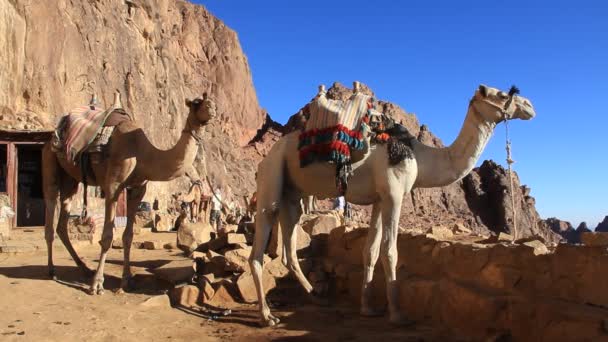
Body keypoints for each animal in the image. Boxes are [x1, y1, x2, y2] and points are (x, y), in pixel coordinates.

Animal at [42, 93, 216, 294]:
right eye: (196, 103)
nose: (212, 108)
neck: (143, 153)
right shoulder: (113, 186)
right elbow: (107, 236)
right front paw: (97, 284)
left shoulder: (137, 189)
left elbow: (128, 236)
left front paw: (127, 280)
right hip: (50, 160)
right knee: (50, 210)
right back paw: (52, 270)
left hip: (71, 179)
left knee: (62, 222)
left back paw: (84, 268)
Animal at [249, 83, 536, 326]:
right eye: (501, 94)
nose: (530, 105)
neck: (420, 156)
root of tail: (267, 157)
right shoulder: (394, 194)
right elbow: (390, 250)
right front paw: (397, 315)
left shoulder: (380, 199)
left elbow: (370, 251)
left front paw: (368, 308)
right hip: (272, 175)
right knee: (258, 247)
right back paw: (267, 316)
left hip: (292, 195)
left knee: (289, 250)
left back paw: (316, 296)